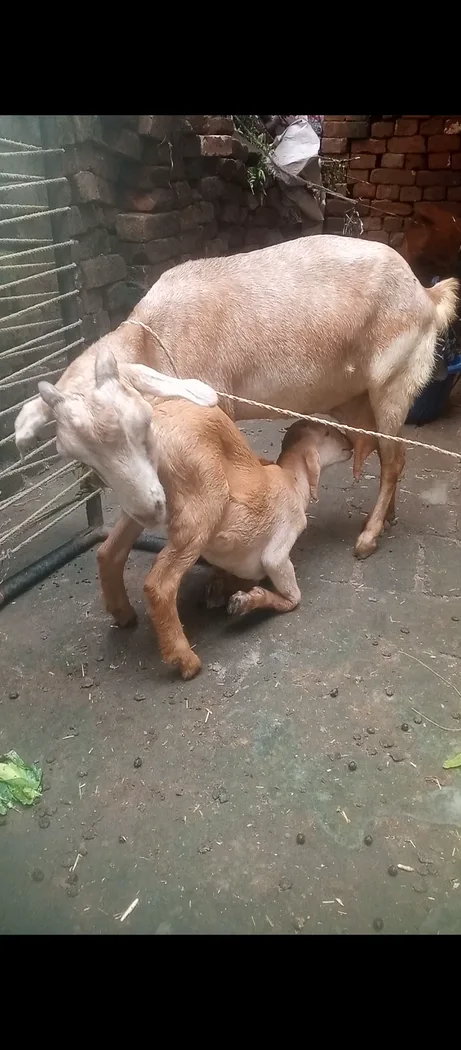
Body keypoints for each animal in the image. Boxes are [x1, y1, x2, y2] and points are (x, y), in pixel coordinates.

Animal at [16, 235, 459, 558]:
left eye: (142, 424)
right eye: (79, 457)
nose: (148, 510)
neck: (151, 341)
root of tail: (425, 294)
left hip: (394, 382)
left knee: (395, 459)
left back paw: (368, 537)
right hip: (355, 395)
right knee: (387, 454)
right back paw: (387, 518)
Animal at [38, 348, 352, 679]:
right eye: (327, 431)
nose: (350, 443)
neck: (290, 481)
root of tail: (154, 422)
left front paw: (221, 592)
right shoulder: (278, 551)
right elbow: (292, 598)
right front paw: (248, 601)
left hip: (143, 500)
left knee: (109, 552)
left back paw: (123, 614)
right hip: (202, 506)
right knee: (158, 584)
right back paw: (184, 659)